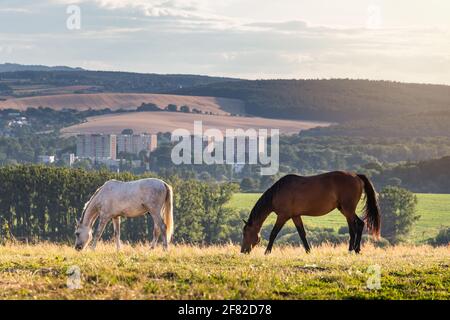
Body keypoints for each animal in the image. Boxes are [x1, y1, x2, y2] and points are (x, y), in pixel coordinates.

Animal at [241, 172, 382, 255]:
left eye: (246, 233)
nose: (243, 251)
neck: (278, 192)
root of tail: (356, 176)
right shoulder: (295, 216)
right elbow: (302, 233)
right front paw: (308, 251)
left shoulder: (283, 216)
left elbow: (273, 233)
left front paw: (267, 252)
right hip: (344, 209)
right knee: (359, 224)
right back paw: (356, 249)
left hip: (348, 210)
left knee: (354, 227)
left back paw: (352, 250)